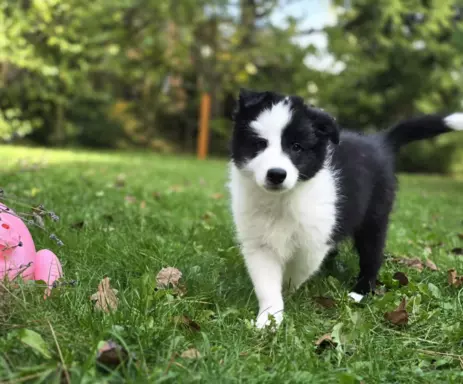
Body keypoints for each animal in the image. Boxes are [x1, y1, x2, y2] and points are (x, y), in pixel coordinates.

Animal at [230, 88, 463, 328]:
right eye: (259, 144)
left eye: (296, 147)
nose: (276, 174)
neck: (281, 200)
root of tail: (379, 142)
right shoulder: (258, 244)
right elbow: (267, 282)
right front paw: (269, 318)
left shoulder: (315, 240)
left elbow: (298, 270)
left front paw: (288, 291)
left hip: (374, 217)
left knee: (372, 255)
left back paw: (360, 292)